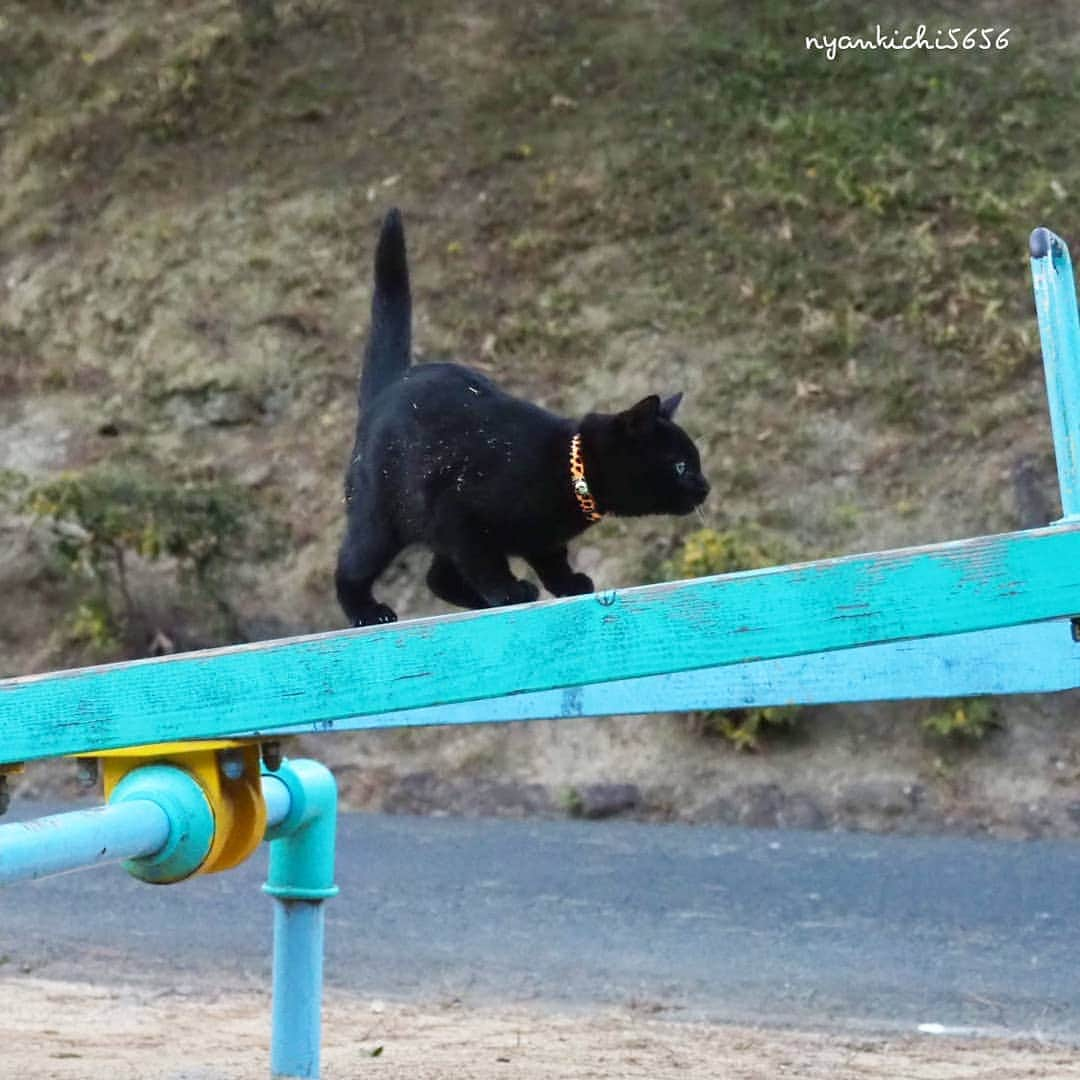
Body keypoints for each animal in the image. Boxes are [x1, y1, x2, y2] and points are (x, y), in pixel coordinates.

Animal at [334, 208, 708, 626]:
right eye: (680, 466)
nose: (705, 485)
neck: (566, 472)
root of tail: (391, 384)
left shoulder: (533, 536)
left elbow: (549, 560)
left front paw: (567, 583)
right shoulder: (458, 512)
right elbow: (486, 564)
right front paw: (508, 591)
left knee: (437, 578)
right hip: (382, 520)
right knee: (351, 567)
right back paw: (369, 612)